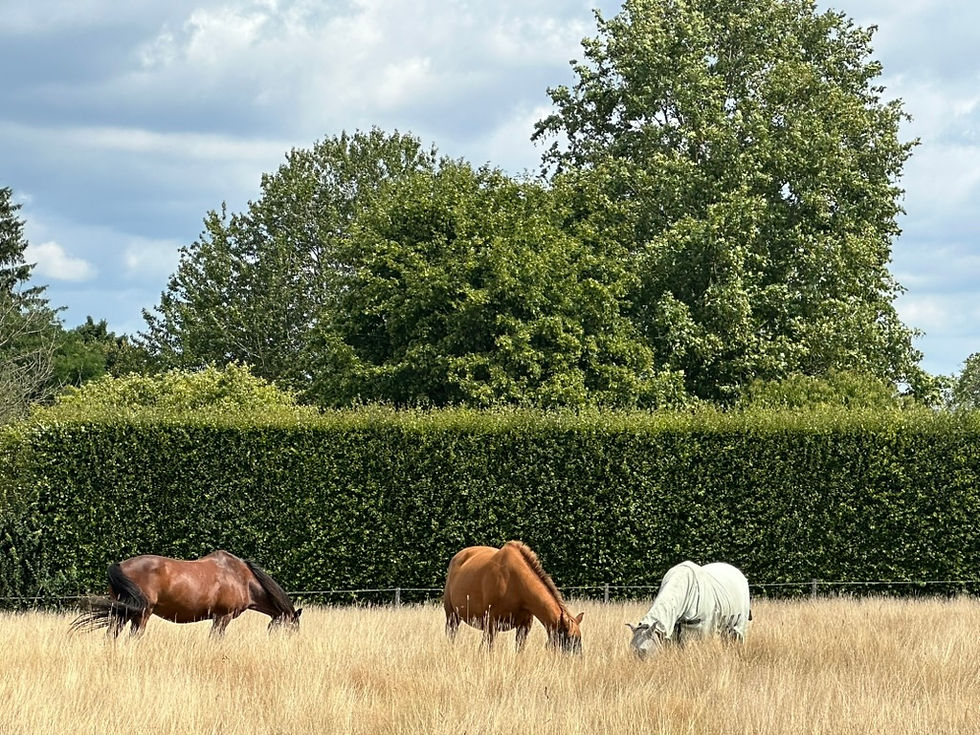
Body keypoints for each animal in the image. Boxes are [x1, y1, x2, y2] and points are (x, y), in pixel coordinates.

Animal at [71, 550, 302, 638]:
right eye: (291, 629)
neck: (241, 578)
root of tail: (120, 565)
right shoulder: (222, 617)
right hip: (141, 614)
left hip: (123, 612)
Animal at [442, 541, 584, 654]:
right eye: (569, 639)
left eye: (579, 638)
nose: (578, 661)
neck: (514, 581)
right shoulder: (491, 624)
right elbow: (486, 649)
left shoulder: (524, 626)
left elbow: (519, 649)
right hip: (452, 616)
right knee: (451, 636)